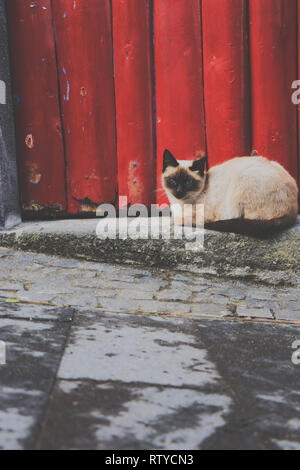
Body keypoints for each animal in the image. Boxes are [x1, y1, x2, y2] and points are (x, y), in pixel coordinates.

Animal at [162, 150, 298, 234]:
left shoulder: (201, 216)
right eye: (172, 181)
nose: (179, 191)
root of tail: (293, 211)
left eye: (188, 182)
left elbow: (178, 220)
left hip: (240, 186)